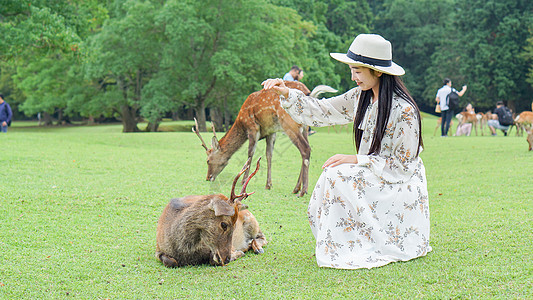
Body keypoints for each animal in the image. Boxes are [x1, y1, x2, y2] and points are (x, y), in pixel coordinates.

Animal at [193, 80, 336, 197]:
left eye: (208, 160)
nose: (208, 177)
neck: (241, 123)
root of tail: (308, 94)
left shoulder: (252, 127)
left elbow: (250, 154)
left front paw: (243, 181)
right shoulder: (271, 132)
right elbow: (269, 155)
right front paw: (268, 184)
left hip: (289, 123)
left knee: (305, 149)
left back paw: (302, 190)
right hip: (305, 127)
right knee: (306, 149)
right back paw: (296, 188)